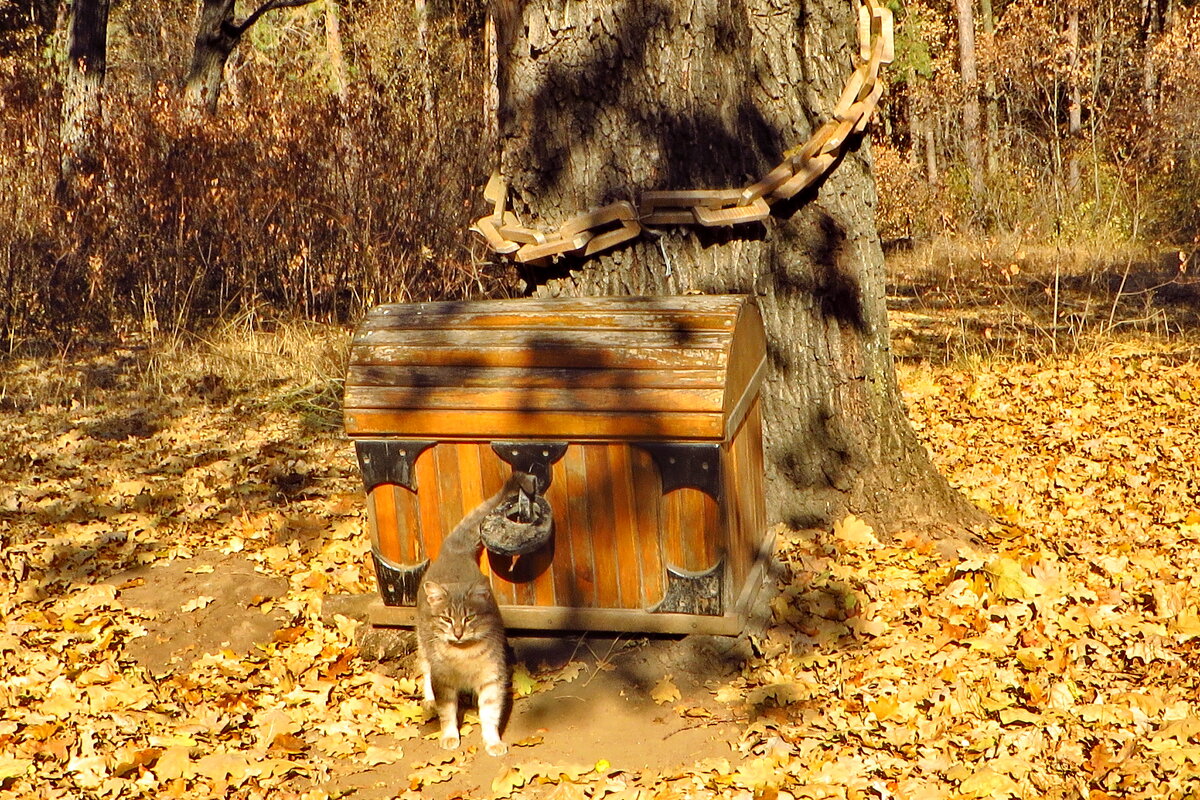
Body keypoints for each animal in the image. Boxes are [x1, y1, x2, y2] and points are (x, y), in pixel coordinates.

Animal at [417, 472, 540, 762]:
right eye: (447, 619)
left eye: (469, 618)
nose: (458, 633)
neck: (464, 656)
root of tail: (454, 553)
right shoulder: (444, 683)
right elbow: (447, 713)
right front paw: (450, 736)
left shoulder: (492, 680)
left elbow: (490, 715)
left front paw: (493, 741)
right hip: (422, 646)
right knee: (424, 668)